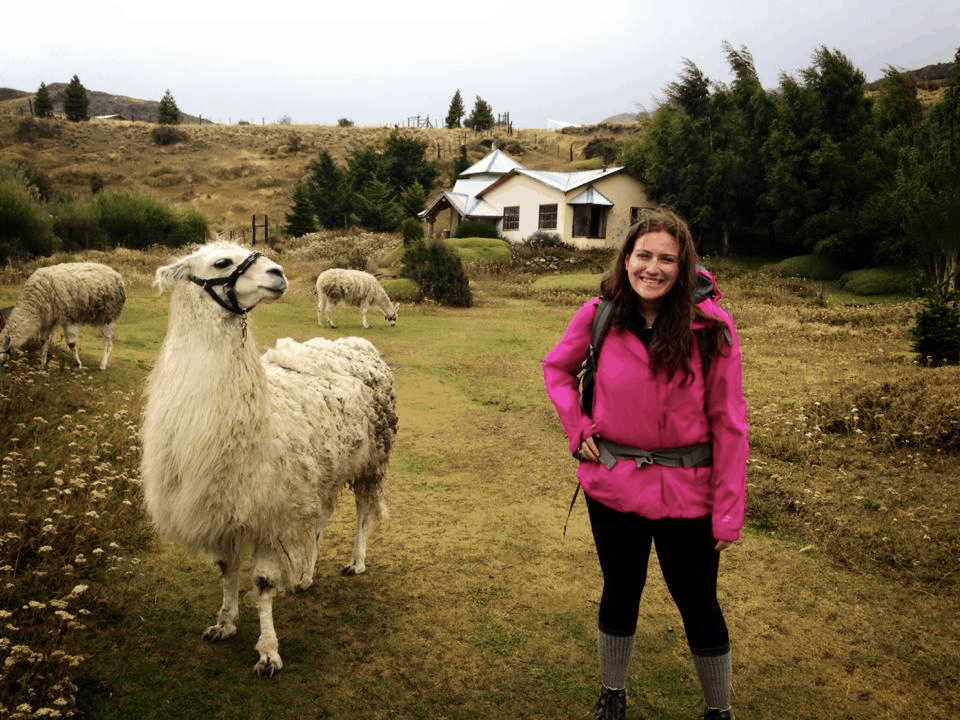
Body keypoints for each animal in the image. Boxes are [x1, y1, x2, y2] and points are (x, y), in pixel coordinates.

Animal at [139, 242, 398, 676]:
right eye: (221, 262)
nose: (278, 274)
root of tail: (357, 345)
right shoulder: (225, 509)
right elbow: (227, 572)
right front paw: (224, 623)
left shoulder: (269, 512)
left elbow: (261, 584)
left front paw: (268, 651)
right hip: (320, 474)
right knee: (321, 518)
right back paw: (306, 575)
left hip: (372, 460)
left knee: (363, 512)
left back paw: (356, 562)